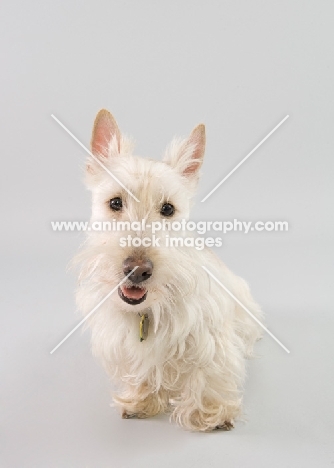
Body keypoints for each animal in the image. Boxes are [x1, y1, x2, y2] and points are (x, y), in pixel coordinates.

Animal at [73, 109, 264, 432]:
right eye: (115, 202)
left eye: (168, 209)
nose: (137, 270)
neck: (148, 310)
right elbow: (144, 371)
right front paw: (141, 399)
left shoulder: (210, 337)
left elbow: (209, 372)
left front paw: (209, 412)